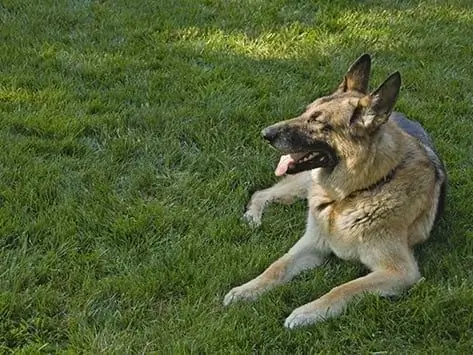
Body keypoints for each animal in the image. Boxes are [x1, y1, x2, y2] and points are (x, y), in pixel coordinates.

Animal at [223, 54, 444, 330]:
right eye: (305, 112)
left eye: (317, 121)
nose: (265, 133)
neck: (354, 194)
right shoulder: (310, 244)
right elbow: (276, 267)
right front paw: (246, 290)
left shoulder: (399, 271)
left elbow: (344, 288)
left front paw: (306, 312)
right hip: (304, 184)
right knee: (261, 193)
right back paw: (252, 218)